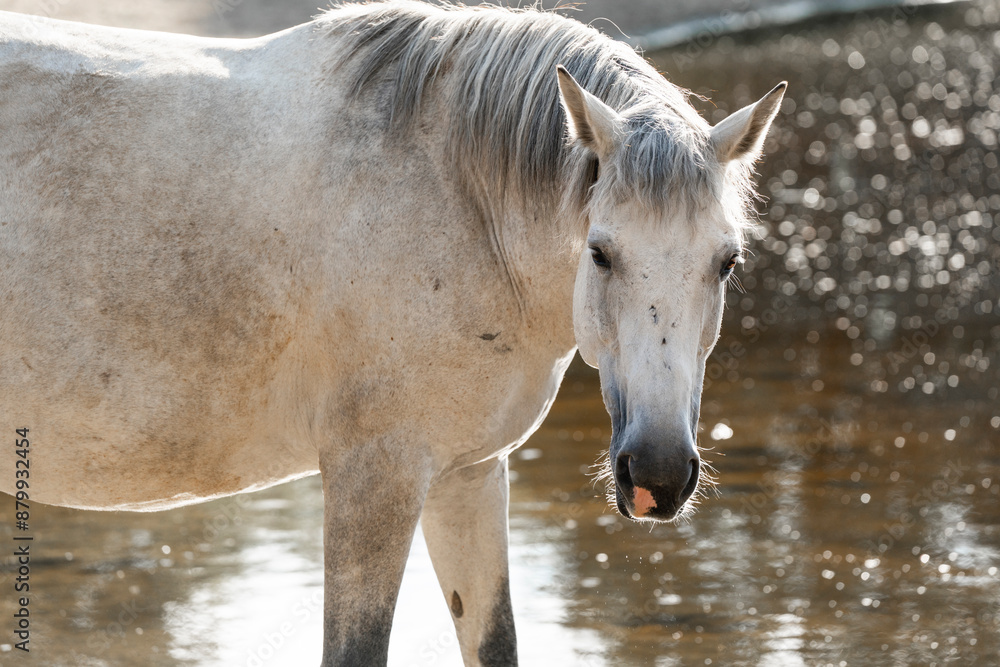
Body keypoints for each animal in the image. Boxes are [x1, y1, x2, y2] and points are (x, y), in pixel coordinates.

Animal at [0, 1, 784, 664]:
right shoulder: (374, 476)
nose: (658, 474)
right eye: (600, 252)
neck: (456, 197)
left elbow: (494, 642)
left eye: (726, 261)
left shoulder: (467, 474)